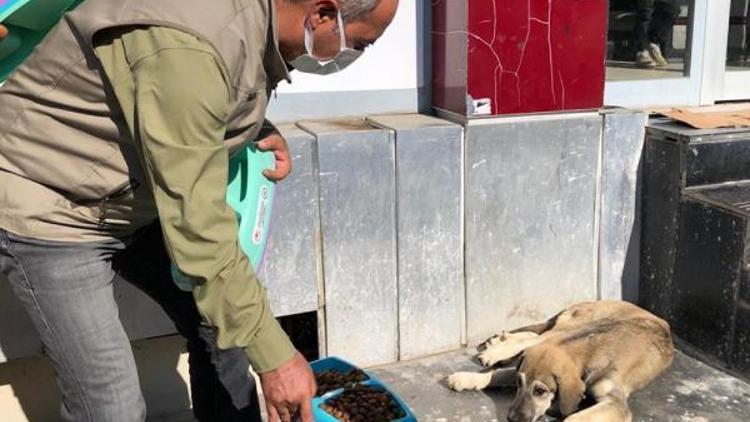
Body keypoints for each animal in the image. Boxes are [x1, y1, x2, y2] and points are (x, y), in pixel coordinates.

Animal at [446, 302, 676, 420]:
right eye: (519, 384)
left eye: (540, 391)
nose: (511, 418)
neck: (586, 357)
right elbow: (497, 375)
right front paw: (466, 378)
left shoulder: (616, 404)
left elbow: (573, 417)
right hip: (580, 324)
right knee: (534, 337)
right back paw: (497, 347)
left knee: (533, 336)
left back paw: (497, 345)